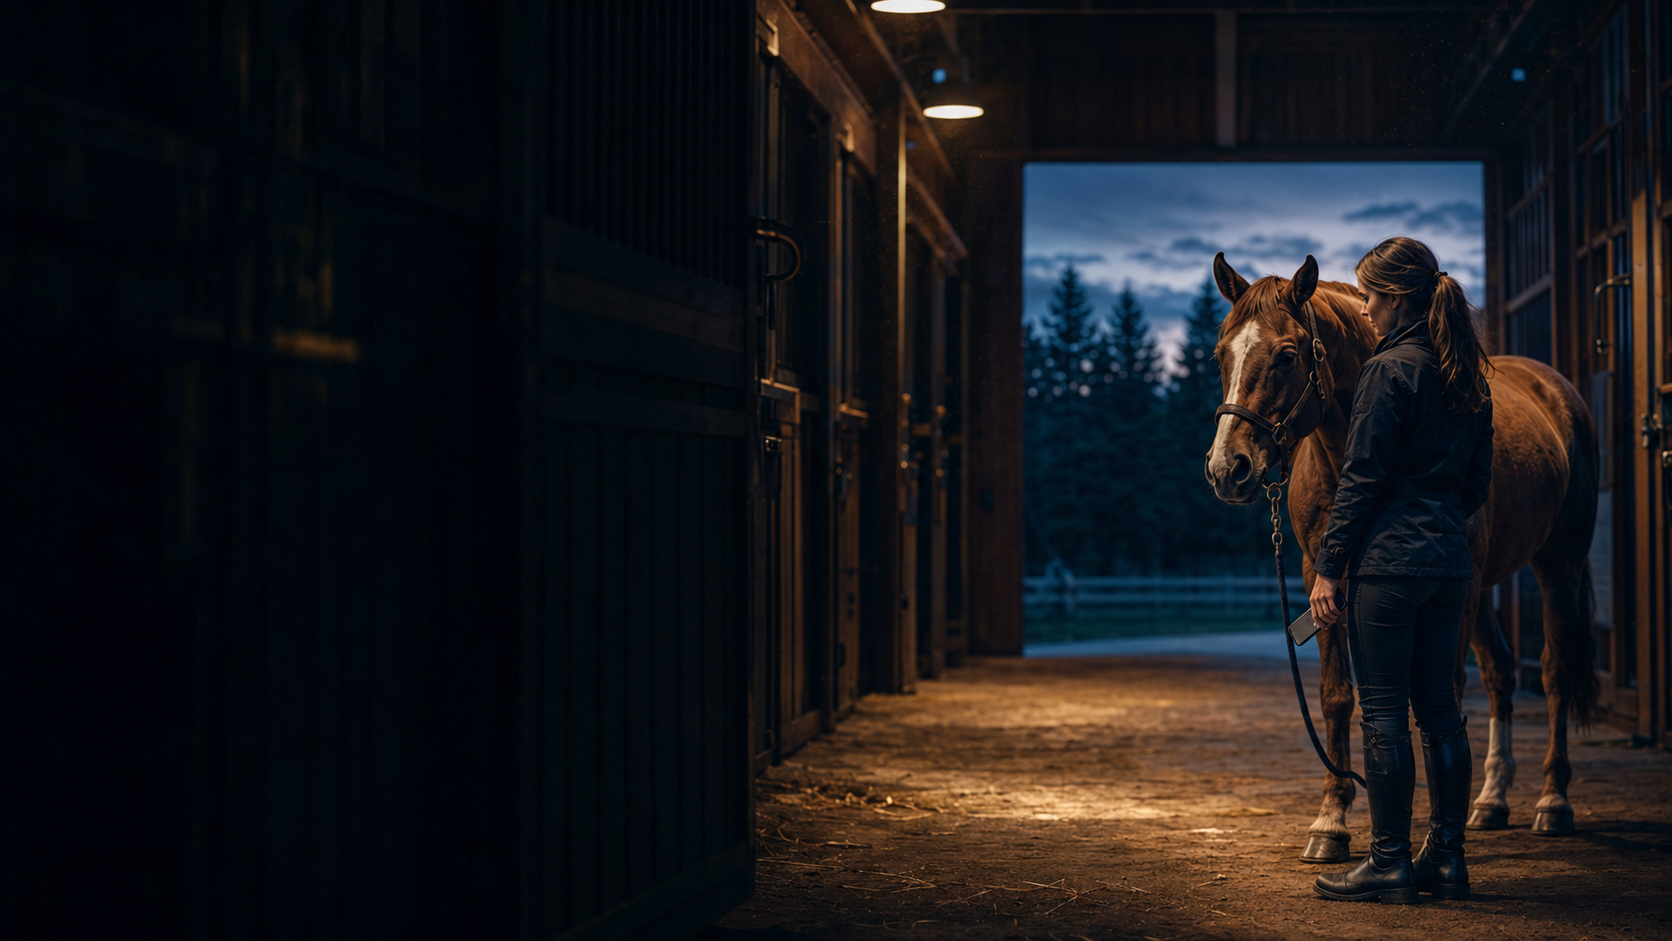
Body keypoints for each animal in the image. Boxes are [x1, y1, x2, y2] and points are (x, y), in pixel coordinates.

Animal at [1204, 252, 1600, 863]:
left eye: (1288, 356)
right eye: (1222, 353)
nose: (1229, 469)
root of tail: (1556, 391)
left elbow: (1440, 697)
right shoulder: (1323, 576)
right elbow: (1338, 697)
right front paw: (1332, 822)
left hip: (1557, 564)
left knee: (1554, 672)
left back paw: (1552, 802)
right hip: (1482, 586)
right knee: (1500, 671)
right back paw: (1491, 799)